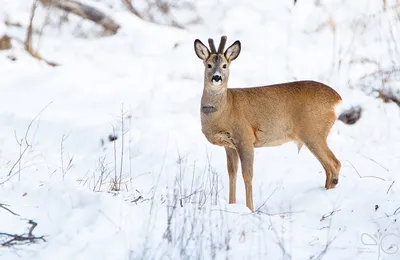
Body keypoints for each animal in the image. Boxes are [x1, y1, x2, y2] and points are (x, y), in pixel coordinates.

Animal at [193, 35, 340, 212]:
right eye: (208, 65)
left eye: (224, 65)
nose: (216, 77)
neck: (225, 109)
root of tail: (337, 99)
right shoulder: (229, 145)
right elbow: (231, 173)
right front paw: (232, 205)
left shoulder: (245, 138)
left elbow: (247, 175)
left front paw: (250, 209)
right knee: (329, 167)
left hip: (314, 132)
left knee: (334, 164)